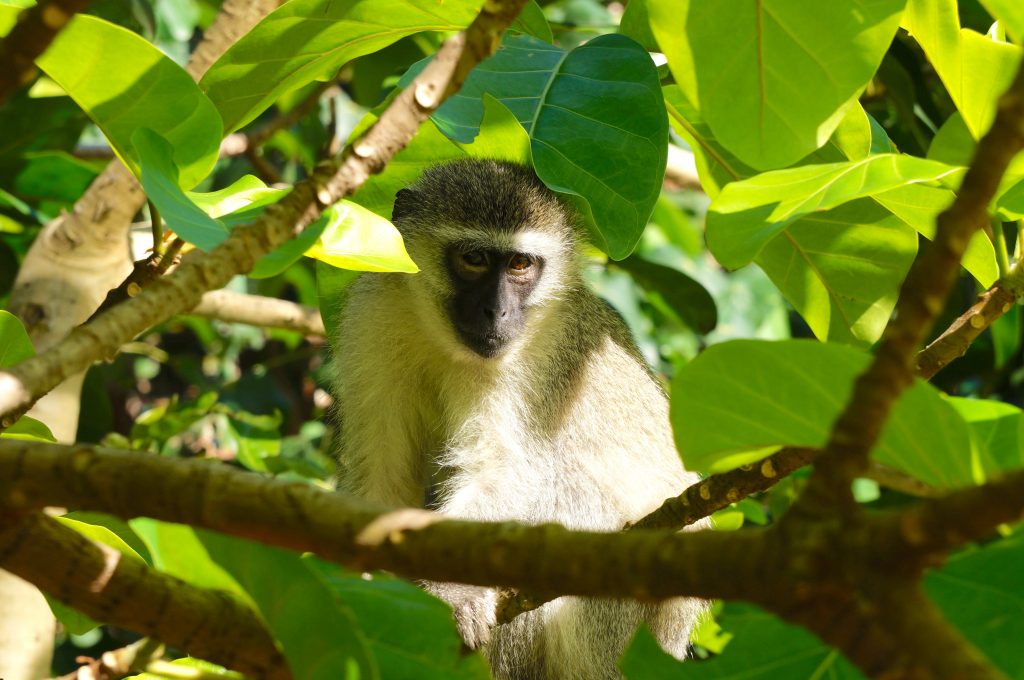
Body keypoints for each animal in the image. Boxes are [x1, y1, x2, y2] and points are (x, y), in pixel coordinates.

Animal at [331, 160, 708, 680]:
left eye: (520, 265)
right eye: (474, 258)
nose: (497, 311)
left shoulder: (540, 360)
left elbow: (509, 471)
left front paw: (453, 591)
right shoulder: (375, 309)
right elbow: (382, 476)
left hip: (622, 631)